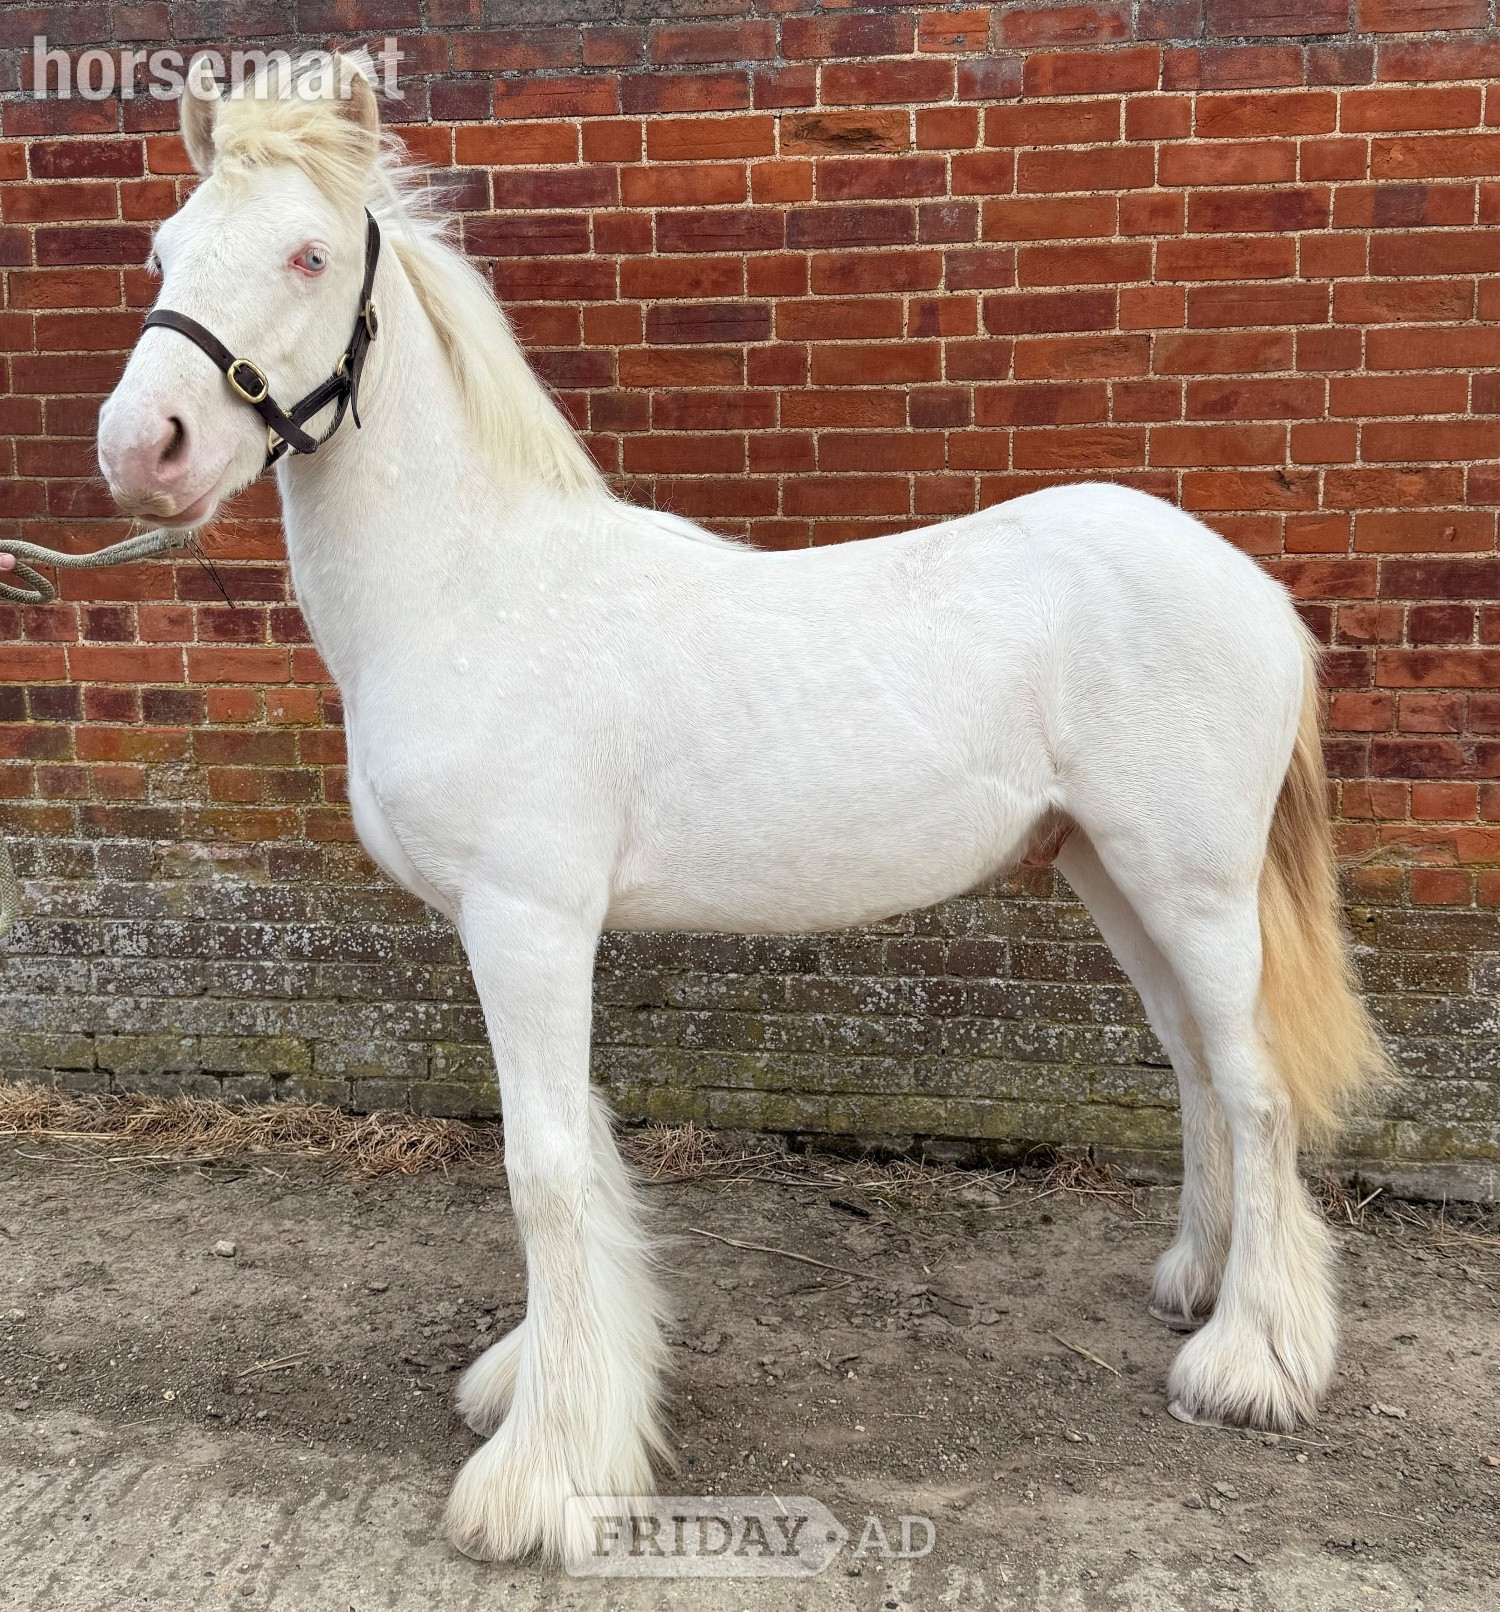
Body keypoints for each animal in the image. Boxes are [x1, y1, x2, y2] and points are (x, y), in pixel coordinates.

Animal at [95, 54, 1388, 1564]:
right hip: (1111, 877)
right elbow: (575, 1163)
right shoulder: (521, 931)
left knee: (1252, 1088)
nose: (145, 447)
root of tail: (1253, 588)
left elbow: (543, 1169)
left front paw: (540, 1481)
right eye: (162, 250)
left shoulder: (527, 922)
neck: (472, 587)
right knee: (1191, 1067)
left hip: (1193, 884)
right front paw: (542, 1391)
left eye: (307, 254)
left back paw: (1251, 1359)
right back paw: (1196, 1278)